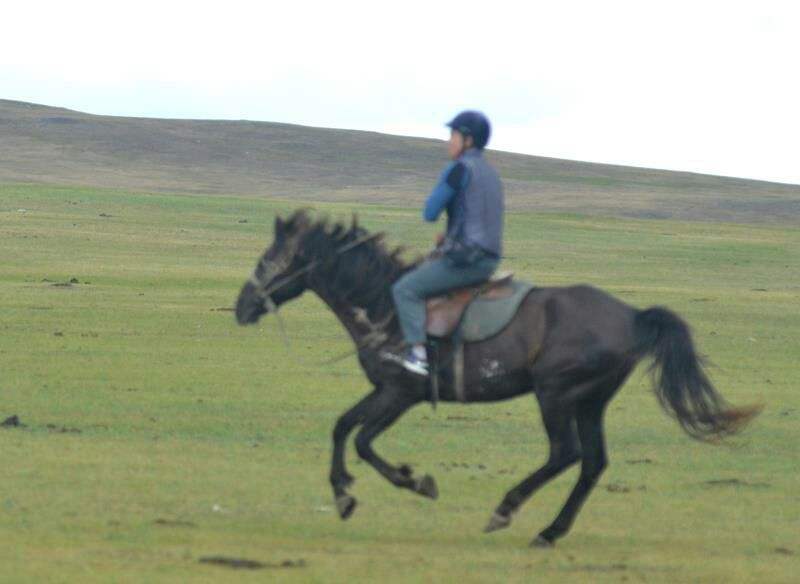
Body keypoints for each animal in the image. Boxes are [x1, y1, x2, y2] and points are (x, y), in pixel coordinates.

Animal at [233, 210, 756, 548]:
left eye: (266, 261)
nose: (242, 307)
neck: (383, 301)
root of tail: (632, 316)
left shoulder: (401, 392)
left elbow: (362, 440)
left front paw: (414, 482)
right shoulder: (383, 390)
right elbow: (342, 427)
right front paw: (343, 495)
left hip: (556, 394)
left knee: (566, 454)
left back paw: (506, 510)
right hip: (590, 401)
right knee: (592, 462)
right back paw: (549, 532)